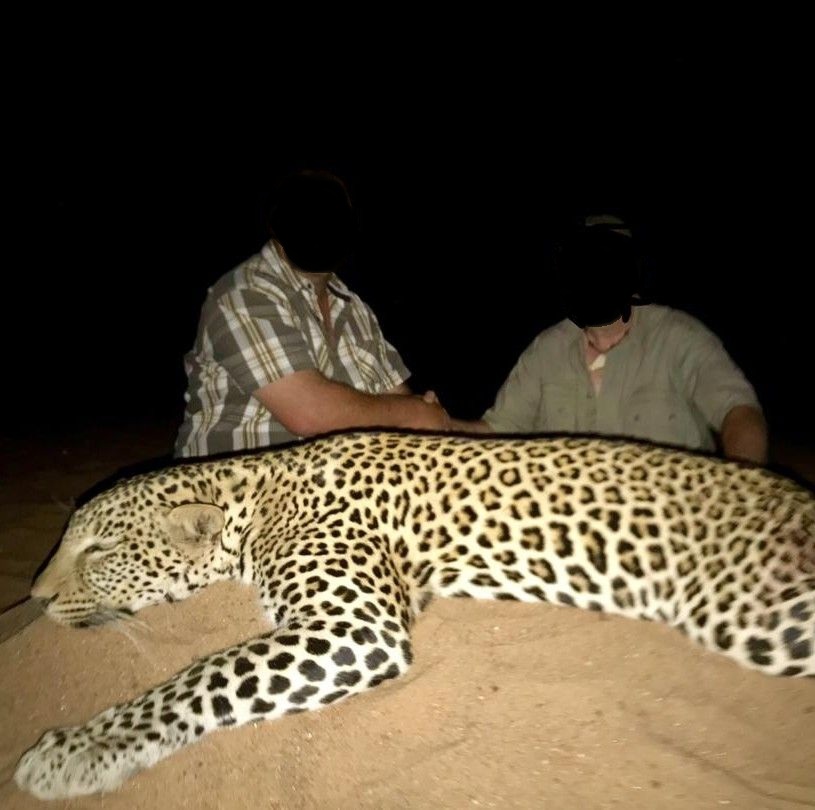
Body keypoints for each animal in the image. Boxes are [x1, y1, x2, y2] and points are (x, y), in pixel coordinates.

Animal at [13, 429, 815, 800]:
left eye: (99, 548)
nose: (36, 596)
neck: (254, 497)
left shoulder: (352, 628)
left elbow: (201, 676)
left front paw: (76, 753)